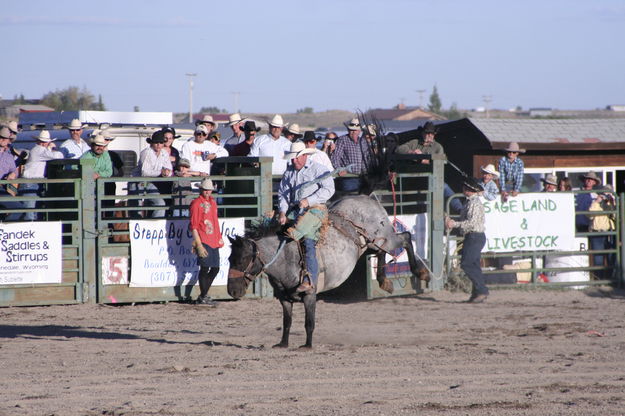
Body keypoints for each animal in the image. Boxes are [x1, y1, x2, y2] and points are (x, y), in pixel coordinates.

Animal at [227, 194, 426, 348]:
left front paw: (307, 345)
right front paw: (283, 344)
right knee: (381, 251)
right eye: (229, 259)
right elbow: (287, 322)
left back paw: (421, 272)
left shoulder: (310, 295)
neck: (285, 255)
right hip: (371, 244)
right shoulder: (284, 299)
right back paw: (384, 281)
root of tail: (367, 198)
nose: (232, 291)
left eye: (243, 260)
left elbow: (309, 322)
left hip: (386, 238)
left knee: (406, 237)